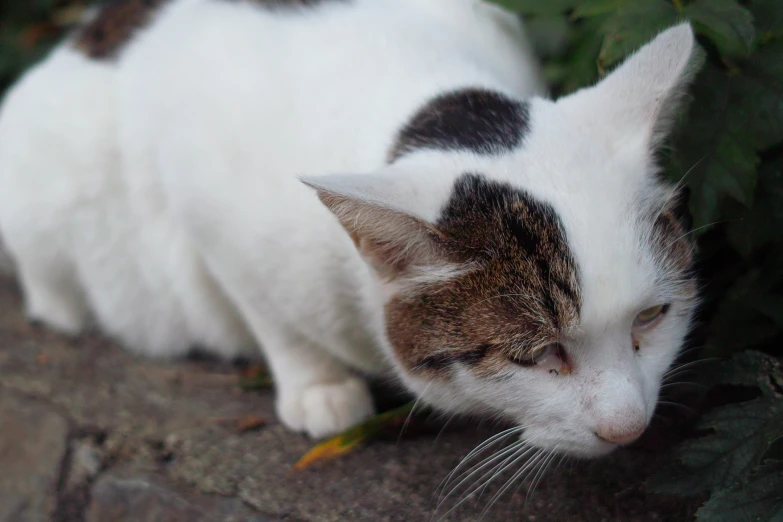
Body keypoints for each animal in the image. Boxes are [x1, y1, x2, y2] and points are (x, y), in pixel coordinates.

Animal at [0, 0, 700, 456]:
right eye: (539, 354)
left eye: (651, 317)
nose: (627, 428)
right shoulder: (209, 215)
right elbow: (271, 316)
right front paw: (319, 387)